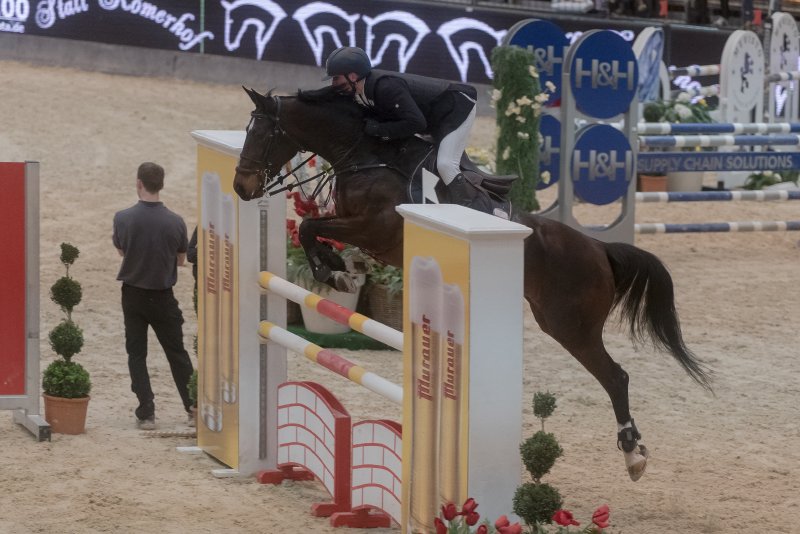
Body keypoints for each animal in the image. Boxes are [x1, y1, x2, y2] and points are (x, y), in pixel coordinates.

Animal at [231, 87, 712, 482]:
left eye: (263, 134)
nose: (240, 187)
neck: (366, 153)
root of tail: (598, 248)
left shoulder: (375, 228)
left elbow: (311, 225)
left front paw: (333, 270)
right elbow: (315, 229)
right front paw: (339, 267)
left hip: (569, 326)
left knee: (616, 377)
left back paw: (633, 456)